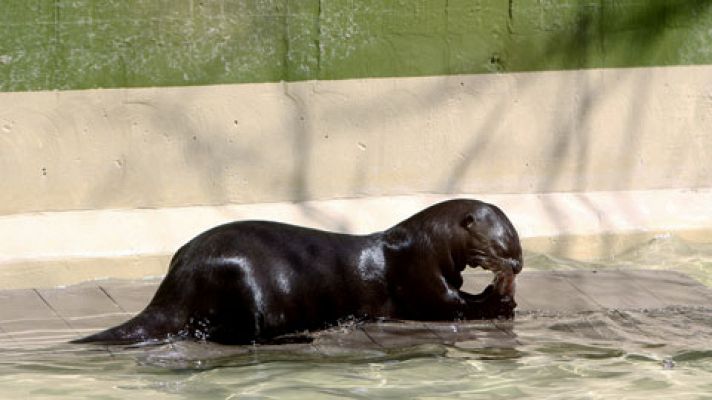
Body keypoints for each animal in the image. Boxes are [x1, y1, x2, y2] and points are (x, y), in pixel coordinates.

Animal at [73, 198, 524, 346]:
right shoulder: (419, 276)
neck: (423, 244)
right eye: (506, 245)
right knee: (238, 337)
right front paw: (500, 301)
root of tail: (179, 275)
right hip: (242, 280)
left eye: (519, 245)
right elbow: (450, 307)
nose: (519, 265)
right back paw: (299, 336)